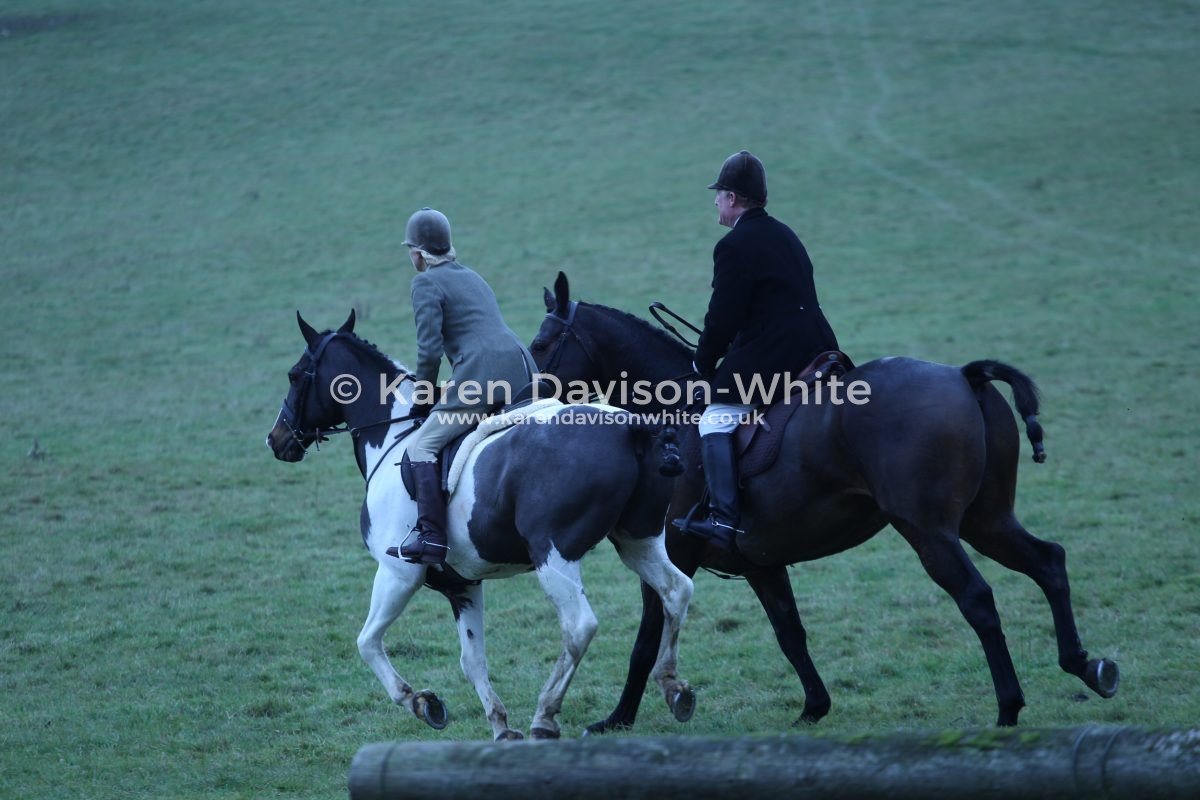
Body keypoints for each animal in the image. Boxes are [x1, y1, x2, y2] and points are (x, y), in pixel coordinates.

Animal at [266, 309, 695, 740]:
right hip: (638, 541)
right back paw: (673, 686)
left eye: (294, 375)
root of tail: (630, 427)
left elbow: (367, 642)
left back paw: (546, 714)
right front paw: (500, 728)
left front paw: (421, 701)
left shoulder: (397, 573)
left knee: (579, 626)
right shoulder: (462, 586)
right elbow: (472, 661)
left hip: (554, 556)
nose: (276, 438)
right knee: (676, 590)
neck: (392, 437)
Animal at [530, 271, 1119, 730]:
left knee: (977, 598)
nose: (524, 399)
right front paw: (814, 707)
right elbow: (790, 632)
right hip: (987, 519)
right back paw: (1086, 666)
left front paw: (618, 718)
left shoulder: (671, 552)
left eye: (539, 345)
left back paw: (1008, 706)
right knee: (1048, 561)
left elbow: (647, 638)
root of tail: (962, 376)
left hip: (929, 530)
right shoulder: (761, 562)